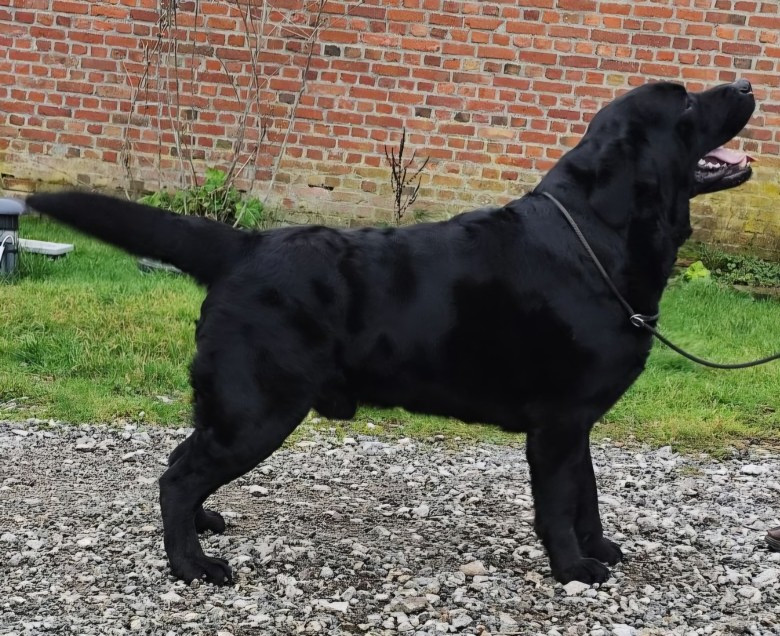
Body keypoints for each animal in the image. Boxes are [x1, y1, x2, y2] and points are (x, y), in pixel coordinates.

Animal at [26, 79, 756, 585]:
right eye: (685, 102)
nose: (748, 86)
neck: (599, 236)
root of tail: (245, 245)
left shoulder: (579, 425)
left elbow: (589, 495)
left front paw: (598, 547)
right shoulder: (557, 424)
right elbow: (559, 504)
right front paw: (575, 569)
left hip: (236, 404)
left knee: (184, 461)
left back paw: (205, 523)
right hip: (260, 408)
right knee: (177, 476)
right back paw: (192, 565)